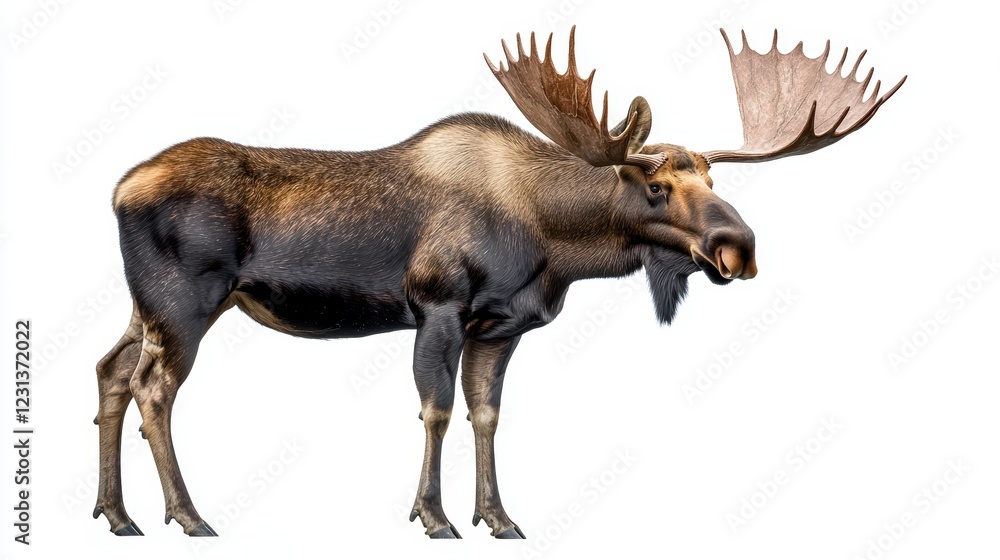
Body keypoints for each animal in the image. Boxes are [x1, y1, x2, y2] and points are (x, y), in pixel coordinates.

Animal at [92, 27, 904, 539]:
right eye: (656, 188)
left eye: (712, 179)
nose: (739, 246)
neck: (552, 242)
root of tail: (117, 189)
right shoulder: (439, 307)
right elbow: (438, 410)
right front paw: (435, 516)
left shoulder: (502, 327)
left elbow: (488, 414)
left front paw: (500, 517)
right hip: (186, 303)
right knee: (153, 390)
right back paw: (189, 517)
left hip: (144, 307)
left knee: (110, 372)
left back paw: (120, 515)